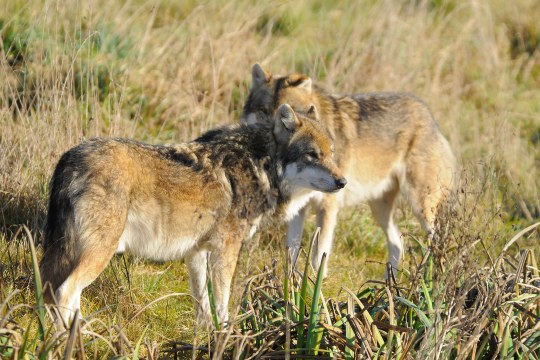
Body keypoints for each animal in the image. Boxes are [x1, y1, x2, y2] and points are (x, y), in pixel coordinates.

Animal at [41, 104, 346, 326]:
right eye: (312, 155)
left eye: (332, 153)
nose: (343, 182)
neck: (261, 165)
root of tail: (69, 157)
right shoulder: (226, 250)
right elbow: (222, 303)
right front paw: (226, 336)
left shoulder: (198, 252)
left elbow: (202, 303)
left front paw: (204, 334)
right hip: (100, 252)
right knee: (64, 292)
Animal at [240, 64, 456, 278]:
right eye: (263, 111)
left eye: (286, 113)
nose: (270, 135)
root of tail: (429, 114)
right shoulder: (298, 209)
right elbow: (290, 252)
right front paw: (290, 284)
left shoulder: (328, 206)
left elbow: (318, 256)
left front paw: (315, 284)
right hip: (380, 209)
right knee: (398, 242)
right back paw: (389, 285)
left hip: (422, 207)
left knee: (439, 242)